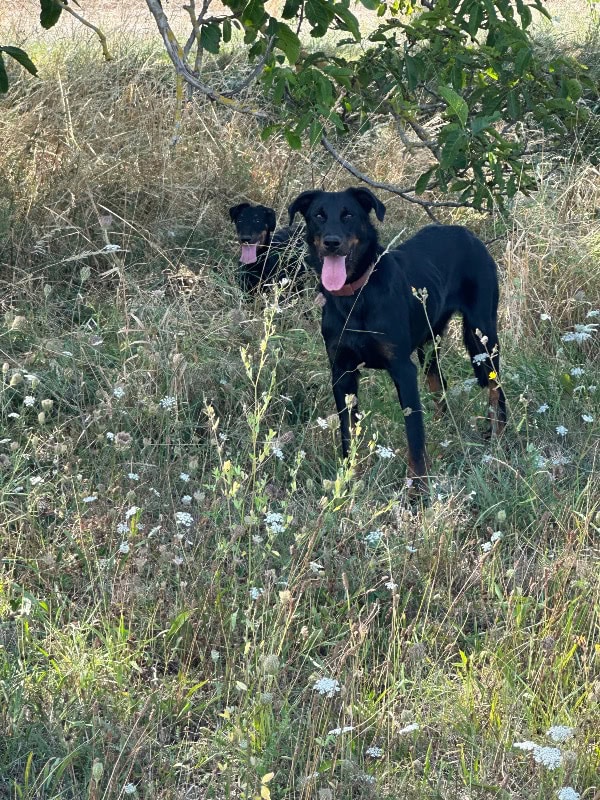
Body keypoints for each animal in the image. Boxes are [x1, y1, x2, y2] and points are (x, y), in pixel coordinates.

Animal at [288, 188, 504, 488]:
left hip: (482, 334)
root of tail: (468, 234)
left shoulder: (403, 369)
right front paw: (350, 480)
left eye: (348, 215)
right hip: (430, 343)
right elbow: (347, 432)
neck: (356, 296)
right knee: (439, 382)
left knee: (496, 388)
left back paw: (499, 436)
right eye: (318, 215)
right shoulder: (342, 372)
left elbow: (414, 436)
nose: (332, 242)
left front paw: (417, 489)